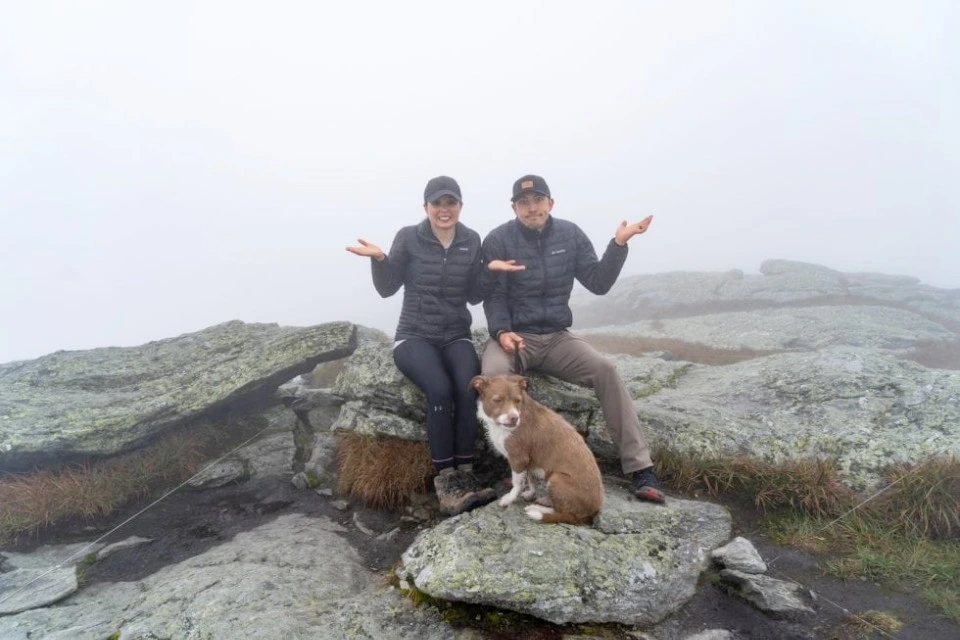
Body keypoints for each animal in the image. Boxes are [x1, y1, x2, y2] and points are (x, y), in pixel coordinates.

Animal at [470, 376, 604, 524]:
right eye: (497, 400)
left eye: (517, 400)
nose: (514, 418)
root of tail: (593, 512)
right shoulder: (529, 462)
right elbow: (531, 479)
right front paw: (530, 494)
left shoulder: (518, 459)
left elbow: (517, 483)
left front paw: (509, 499)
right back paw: (544, 500)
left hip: (556, 478)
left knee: (565, 514)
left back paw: (537, 509)